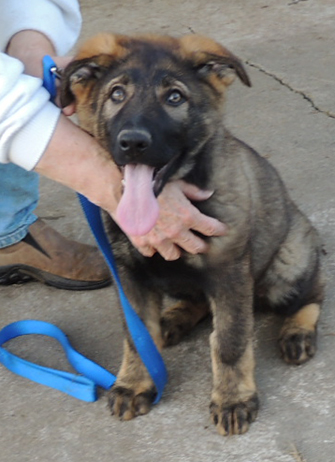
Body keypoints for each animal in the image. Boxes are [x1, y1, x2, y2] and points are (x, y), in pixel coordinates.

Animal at [61, 33, 324, 436]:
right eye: (117, 94)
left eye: (174, 98)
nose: (132, 142)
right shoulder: (129, 274)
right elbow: (137, 335)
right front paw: (134, 383)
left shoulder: (230, 273)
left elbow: (229, 340)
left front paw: (233, 399)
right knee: (197, 299)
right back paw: (175, 317)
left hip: (288, 266)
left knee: (314, 292)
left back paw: (297, 331)